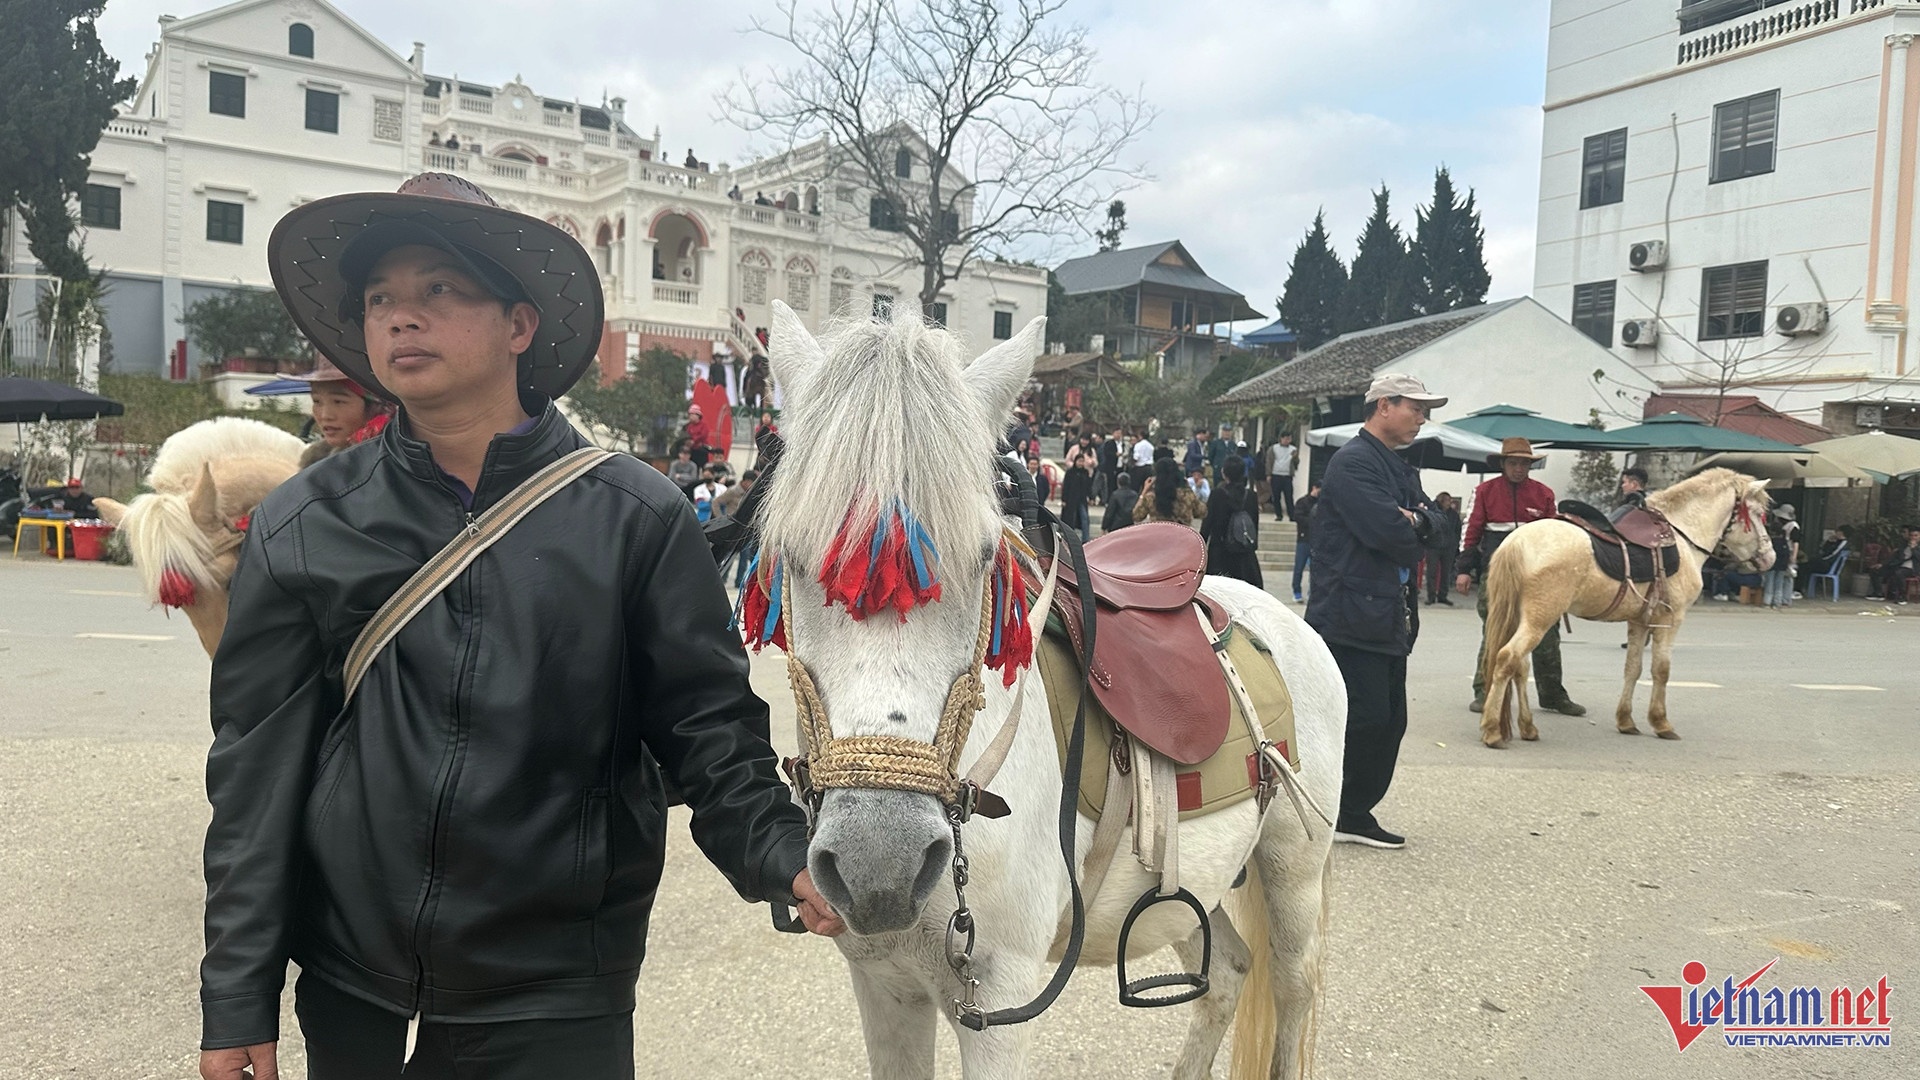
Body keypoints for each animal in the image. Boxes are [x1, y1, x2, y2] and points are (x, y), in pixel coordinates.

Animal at [756, 303, 1344, 1076]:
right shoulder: (883, 984)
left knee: (1294, 985)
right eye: (791, 558)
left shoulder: (998, 1002)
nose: (878, 861)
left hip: (1294, 868)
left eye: (983, 558)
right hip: (1192, 886)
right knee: (1227, 976)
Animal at [1474, 466, 1774, 745]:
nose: (1770, 557)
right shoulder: (1670, 620)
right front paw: (1661, 722)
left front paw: (1626, 720)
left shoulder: (1639, 621)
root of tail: (1516, 541)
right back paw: (1492, 729)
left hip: (1528, 618)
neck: (1681, 535)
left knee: (1520, 667)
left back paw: (1527, 728)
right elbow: (1661, 670)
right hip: (1539, 619)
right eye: (1759, 513)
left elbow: (1633, 668)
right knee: (1507, 658)